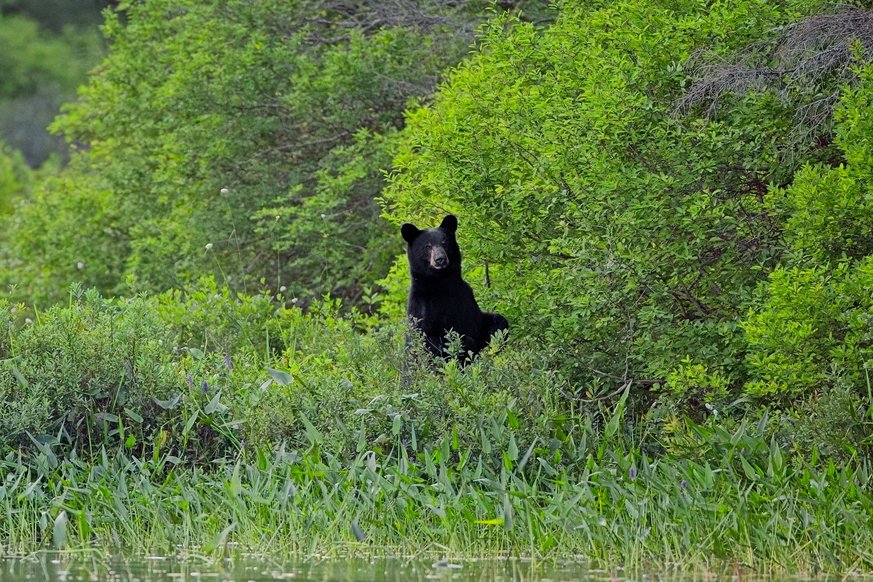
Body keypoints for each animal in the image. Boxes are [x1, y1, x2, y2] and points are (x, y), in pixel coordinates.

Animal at [401, 214, 508, 360]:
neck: (442, 283)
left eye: (445, 243)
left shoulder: (465, 299)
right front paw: (466, 347)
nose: (440, 259)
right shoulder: (423, 310)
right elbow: (431, 342)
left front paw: (497, 341)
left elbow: (487, 323)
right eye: (427, 246)